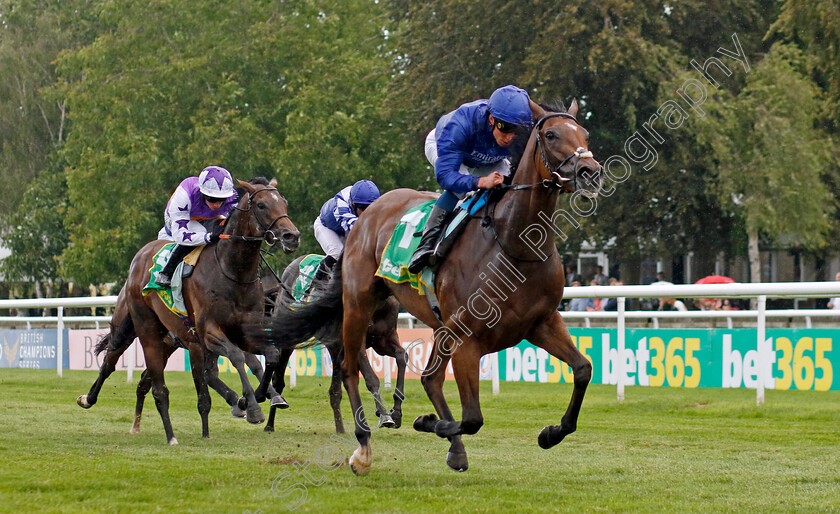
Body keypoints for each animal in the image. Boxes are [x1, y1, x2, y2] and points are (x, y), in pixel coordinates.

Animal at [76, 178, 298, 442]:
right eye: (262, 205)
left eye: (284, 202)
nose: (292, 236)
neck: (232, 272)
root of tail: (141, 255)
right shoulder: (208, 332)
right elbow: (236, 357)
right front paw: (252, 405)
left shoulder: (244, 330)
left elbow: (266, 358)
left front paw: (264, 395)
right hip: (133, 327)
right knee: (110, 360)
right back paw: (88, 398)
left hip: (169, 341)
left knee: (160, 378)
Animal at [264, 98, 604, 470]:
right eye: (552, 134)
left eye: (584, 133)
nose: (590, 171)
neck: (515, 243)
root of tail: (368, 214)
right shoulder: (466, 339)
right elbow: (472, 417)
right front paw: (426, 422)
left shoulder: (542, 322)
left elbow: (583, 369)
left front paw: (551, 433)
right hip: (358, 305)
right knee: (351, 369)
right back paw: (363, 445)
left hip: (437, 327)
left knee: (428, 379)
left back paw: (449, 446)